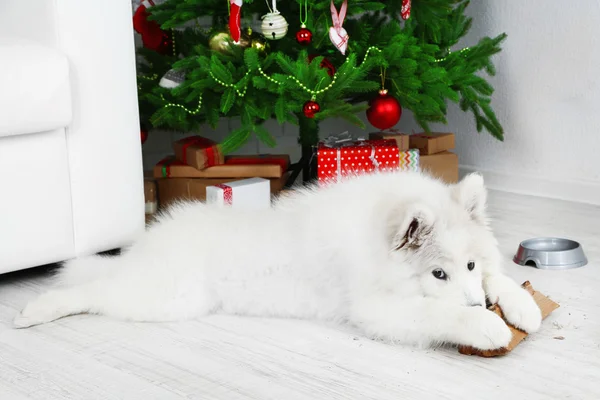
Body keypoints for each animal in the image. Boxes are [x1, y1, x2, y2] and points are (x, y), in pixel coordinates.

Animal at [14, 172, 540, 350]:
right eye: (438, 273)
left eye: (468, 267)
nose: (479, 308)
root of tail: (148, 244)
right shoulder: (378, 308)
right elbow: (438, 311)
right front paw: (486, 326)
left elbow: (501, 278)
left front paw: (522, 308)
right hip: (166, 296)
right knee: (91, 291)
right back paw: (34, 311)